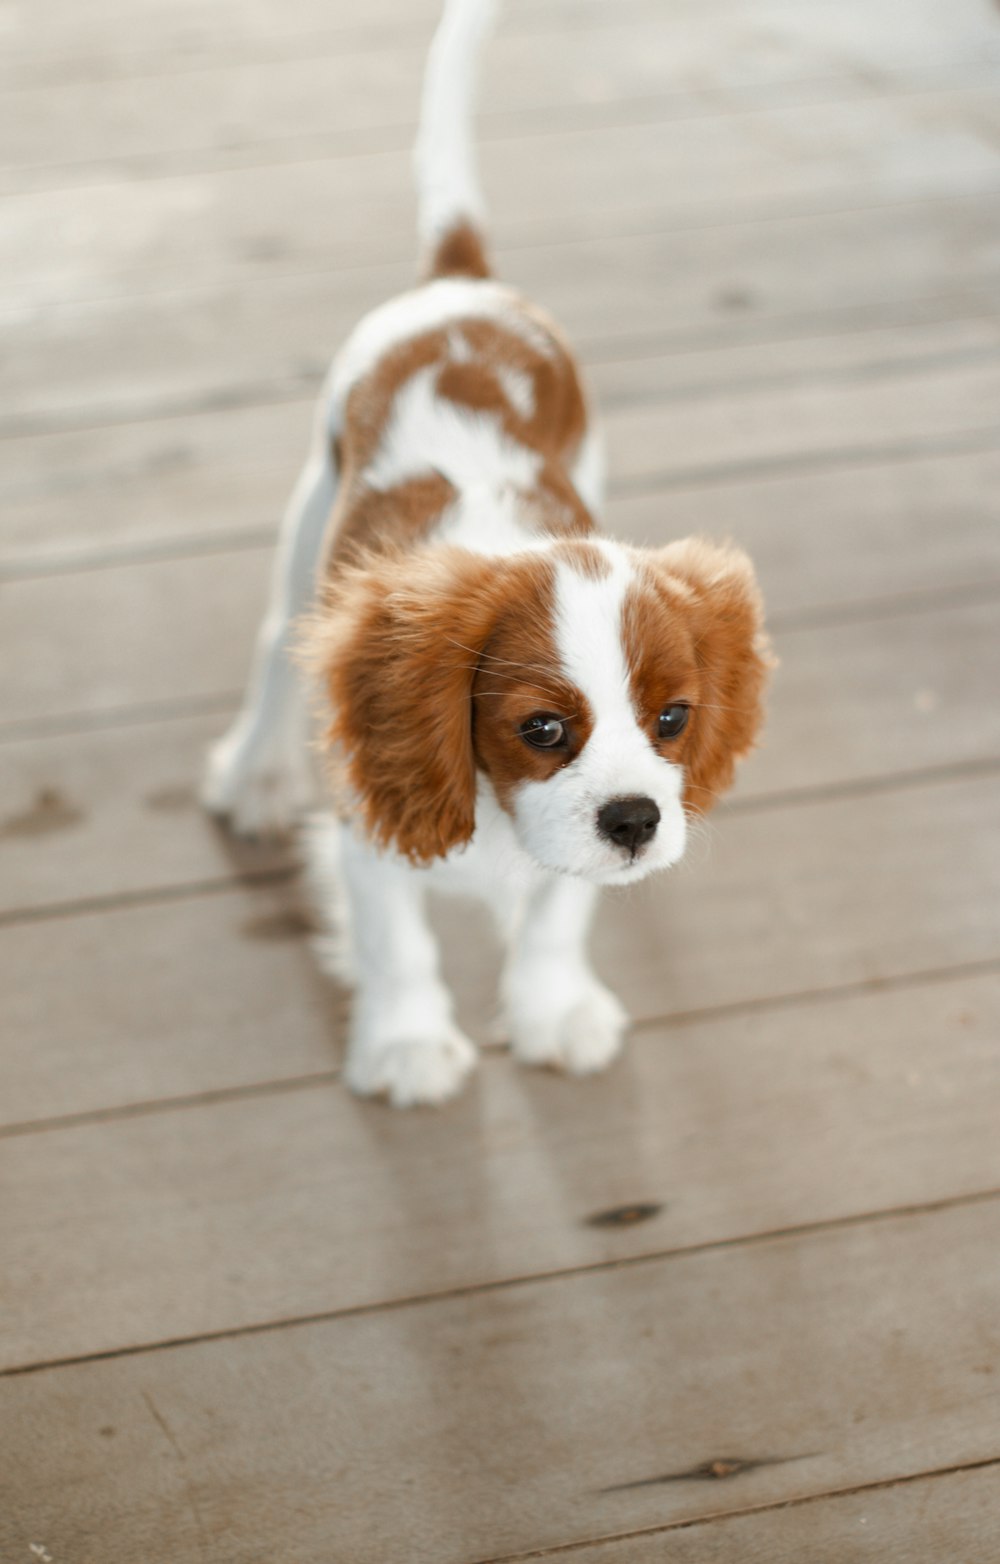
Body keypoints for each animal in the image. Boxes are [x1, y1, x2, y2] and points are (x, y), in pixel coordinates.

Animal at [199, 0, 769, 1107]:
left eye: (673, 720)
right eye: (541, 729)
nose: (636, 820)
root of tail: (463, 282)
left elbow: (556, 918)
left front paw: (554, 1012)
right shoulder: (372, 815)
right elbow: (397, 942)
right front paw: (409, 1046)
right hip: (311, 517)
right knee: (272, 646)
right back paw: (251, 777)